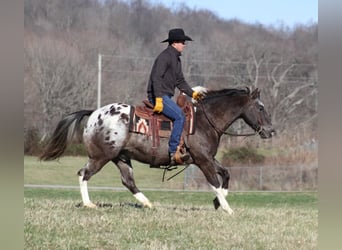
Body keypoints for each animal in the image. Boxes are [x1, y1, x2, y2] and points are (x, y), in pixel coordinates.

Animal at [40, 87, 276, 214]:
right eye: (260, 107)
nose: (271, 131)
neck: (204, 120)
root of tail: (94, 113)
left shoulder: (207, 158)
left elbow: (225, 174)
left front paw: (218, 203)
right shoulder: (203, 160)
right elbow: (215, 183)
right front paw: (226, 208)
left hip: (121, 158)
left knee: (128, 181)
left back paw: (148, 203)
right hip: (101, 156)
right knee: (84, 174)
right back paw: (89, 204)